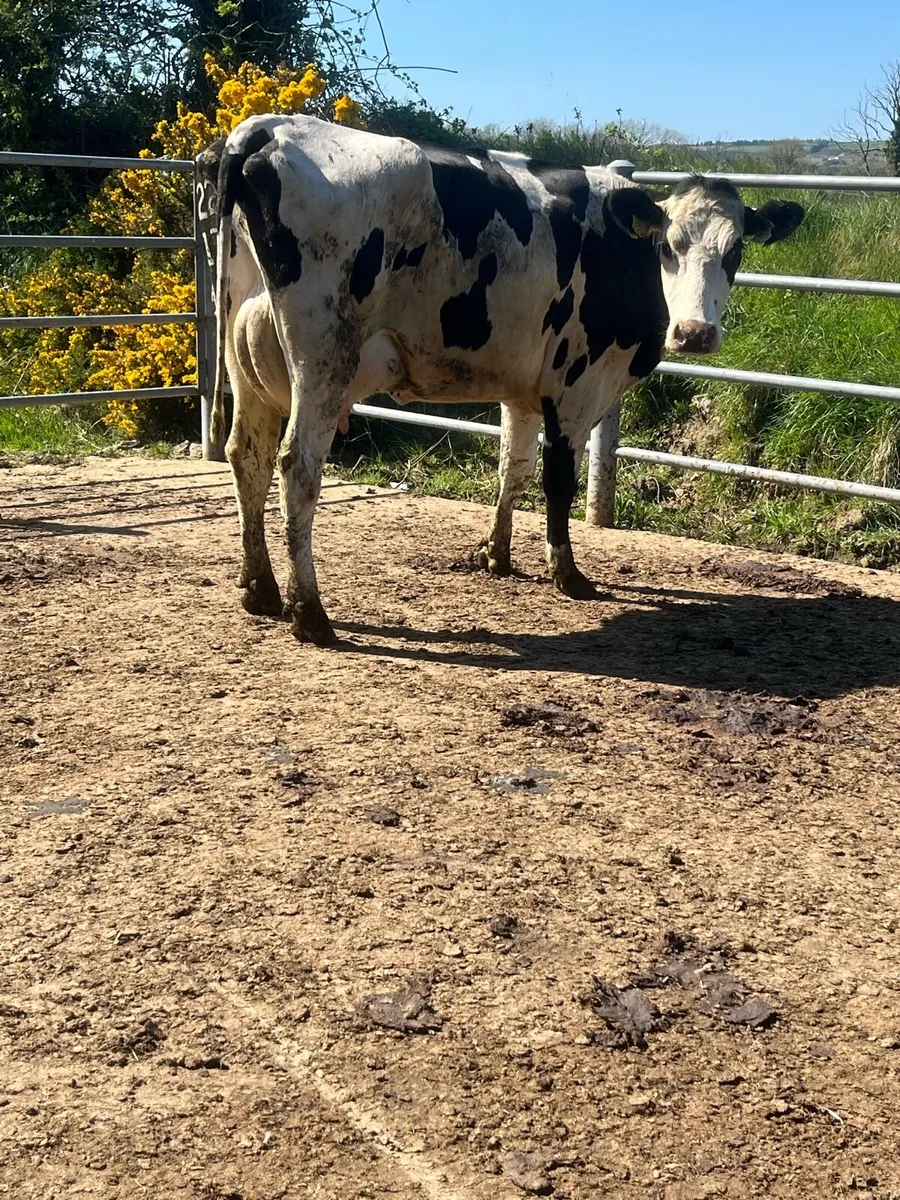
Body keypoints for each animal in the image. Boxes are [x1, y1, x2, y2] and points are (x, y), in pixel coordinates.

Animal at [196, 116, 804, 646]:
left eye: (735, 250)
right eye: (666, 246)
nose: (695, 333)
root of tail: (267, 128)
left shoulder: (523, 387)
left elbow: (514, 467)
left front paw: (496, 554)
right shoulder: (575, 385)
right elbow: (558, 481)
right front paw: (568, 575)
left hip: (246, 356)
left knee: (246, 454)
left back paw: (260, 589)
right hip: (324, 355)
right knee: (297, 466)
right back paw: (310, 614)